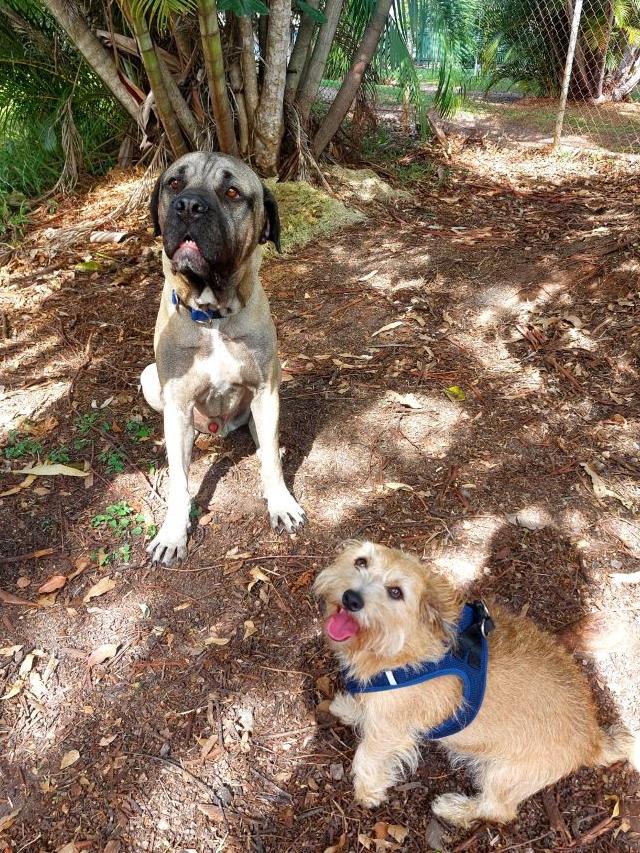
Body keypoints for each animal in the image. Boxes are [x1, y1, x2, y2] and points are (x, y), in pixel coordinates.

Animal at [142, 153, 304, 564]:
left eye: (232, 192)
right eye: (174, 184)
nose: (189, 206)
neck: (212, 314)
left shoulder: (265, 391)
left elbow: (273, 462)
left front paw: (281, 503)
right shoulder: (177, 403)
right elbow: (180, 481)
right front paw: (173, 532)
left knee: (266, 444)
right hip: (150, 380)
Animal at [312, 540, 636, 824]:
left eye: (395, 592)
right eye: (361, 562)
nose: (351, 598)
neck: (403, 647)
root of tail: (592, 739)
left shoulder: (390, 729)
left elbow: (368, 756)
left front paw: (367, 791)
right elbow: (365, 709)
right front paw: (349, 708)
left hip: (503, 774)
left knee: (499, 811)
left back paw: (454, 809)